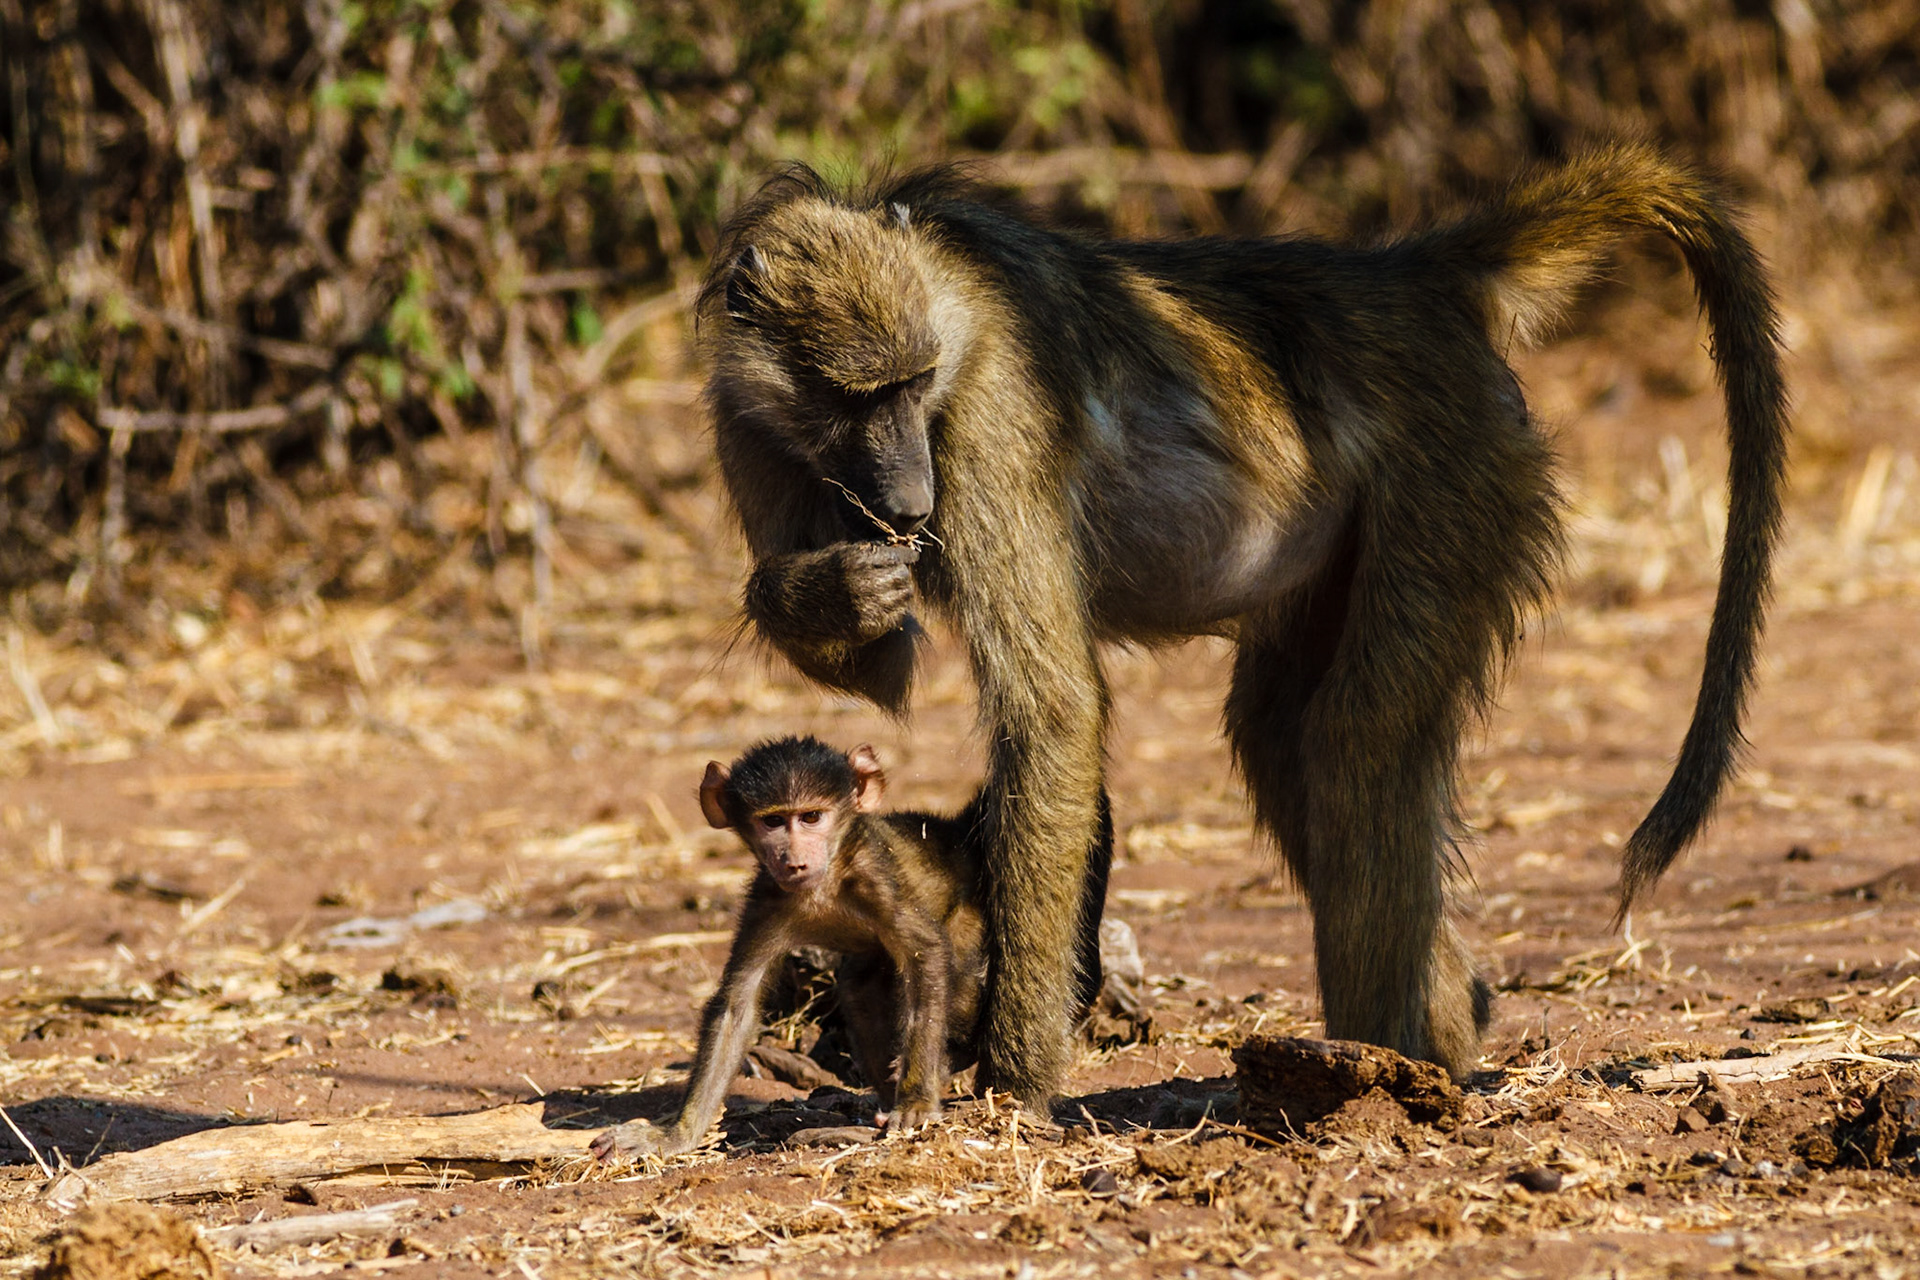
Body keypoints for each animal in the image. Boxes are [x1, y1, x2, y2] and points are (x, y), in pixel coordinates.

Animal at [591, 735, 1109, 1161]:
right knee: (858, 986)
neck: (824, 884)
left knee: (955, 969)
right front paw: (675, 1135)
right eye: (773, 822)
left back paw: (942, 1065)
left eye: (811, 817)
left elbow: (926, 955)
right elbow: (739, 1002)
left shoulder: (874, 876)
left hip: (969, 911)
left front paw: (916, 1102)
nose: (794, 859)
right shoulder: (767, 900)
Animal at [696, 144, 1789, 1107]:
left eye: (914, 386)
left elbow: (1052, 709)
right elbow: (881, 666)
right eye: (855, 398)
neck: (946, 301)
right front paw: (832, 591)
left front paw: (1015, 1085)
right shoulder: (745, 423)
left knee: (1359, 739)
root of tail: (1408, 277)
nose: (912, 501)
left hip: (1462, 470)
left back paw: (1385, 1064)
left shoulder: (988, 415)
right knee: (1282, 737)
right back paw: (1445, 1024)